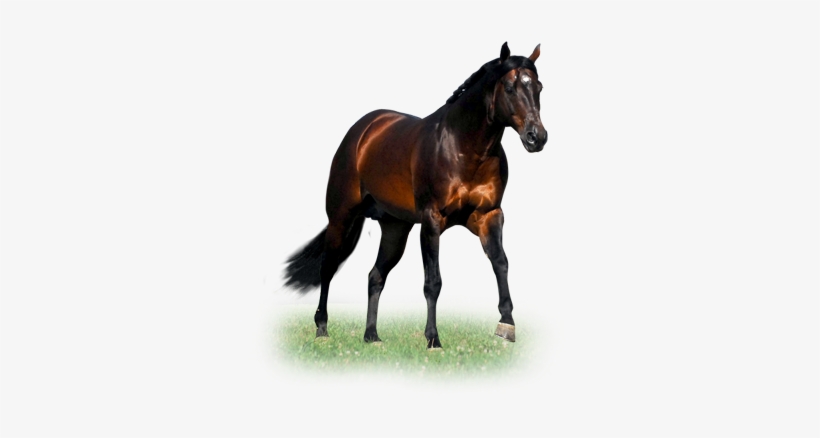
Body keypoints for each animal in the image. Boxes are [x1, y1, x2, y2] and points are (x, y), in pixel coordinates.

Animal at [283, 42, 547, 349]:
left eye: (539, 87)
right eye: (509, 87)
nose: (536, 137)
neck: (463, 147)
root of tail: (362, 131)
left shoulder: (489, 215)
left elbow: (500, 262)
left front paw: (506, 325)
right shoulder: (432, 221)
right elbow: (433, 281)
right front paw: (433, 339)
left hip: (395, 228)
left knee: (375, 276)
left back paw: (371, 336)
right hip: (341, 217)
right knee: (328, 268)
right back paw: (322, 328)